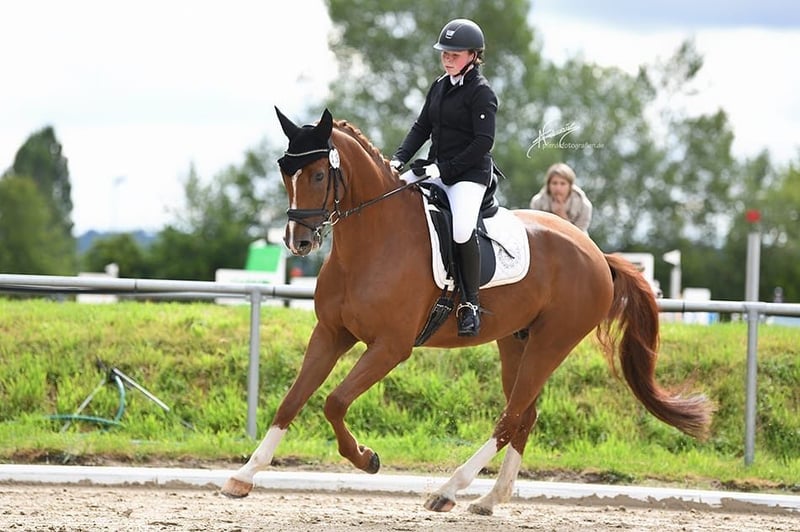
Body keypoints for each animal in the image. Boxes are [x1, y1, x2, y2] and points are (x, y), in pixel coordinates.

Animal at [221, 108, 713, 515]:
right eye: (286, 171)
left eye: (321, 174)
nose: (298, 242)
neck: (371, 240)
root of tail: (596, 254)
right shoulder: (330, 333)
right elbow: (292, 400)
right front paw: (243, 476)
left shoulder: (391, 347)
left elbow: (334, 402)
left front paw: (367, 459)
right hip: (516, 343)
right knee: (524, 415)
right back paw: (489, 500)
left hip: (552, 343)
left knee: (510, 418)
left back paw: (449, 490)